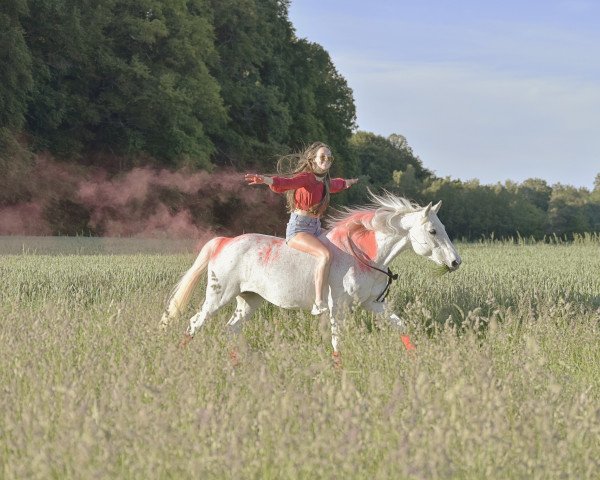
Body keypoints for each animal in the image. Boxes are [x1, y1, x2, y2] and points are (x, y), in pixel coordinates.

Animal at [158, 193, 460, 358]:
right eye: (433, 230)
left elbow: (402, 328)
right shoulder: (339, 308)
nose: (455, 262)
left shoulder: (373, 305)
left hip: (249, 300)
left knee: (231, 329)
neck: (363, 257)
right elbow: (338, 341)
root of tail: (226, 241)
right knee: (195, 322)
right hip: (218, 297)